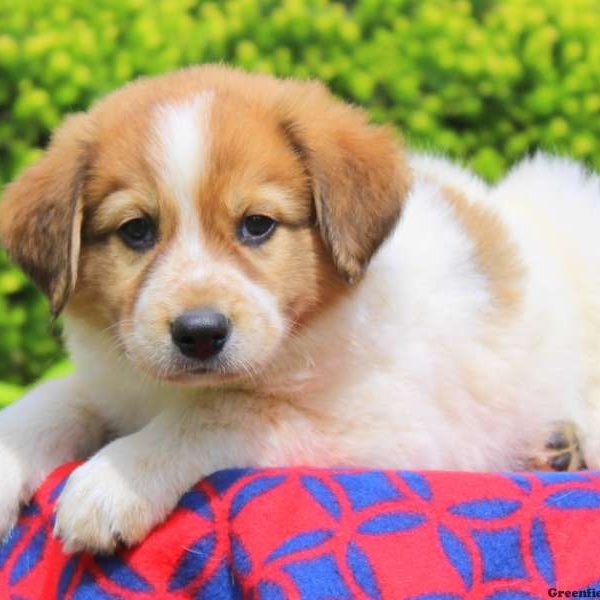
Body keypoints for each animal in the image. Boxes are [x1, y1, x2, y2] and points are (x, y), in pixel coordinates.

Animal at [0, 65, 596, 552]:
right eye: (137, 231)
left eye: (257, 224)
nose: (199, 333)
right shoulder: (115, 379)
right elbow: (56, 399)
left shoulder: (397, 430)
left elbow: (228, 410)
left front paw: (114, 478)